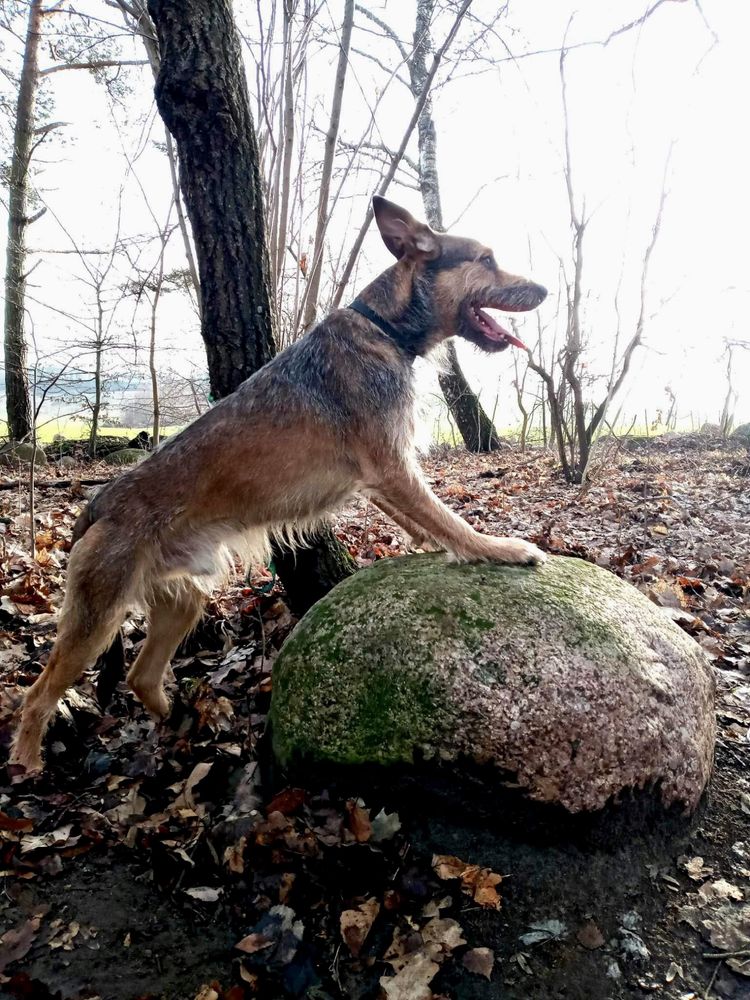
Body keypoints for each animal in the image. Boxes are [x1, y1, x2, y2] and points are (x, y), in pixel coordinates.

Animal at [11, 195, 548, 772]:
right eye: (486, 259)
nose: (544, 292)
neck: (387, 328)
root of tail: (98, 503)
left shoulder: (383, 477)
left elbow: (424, 521)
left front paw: (437, 545)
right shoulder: (391, 466)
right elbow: (448, 518)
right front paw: (499, 549)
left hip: (182, 602)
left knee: (140, 675)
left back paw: (179, 724)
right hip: (97, 618)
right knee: (38, 694)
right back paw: (29, 764)